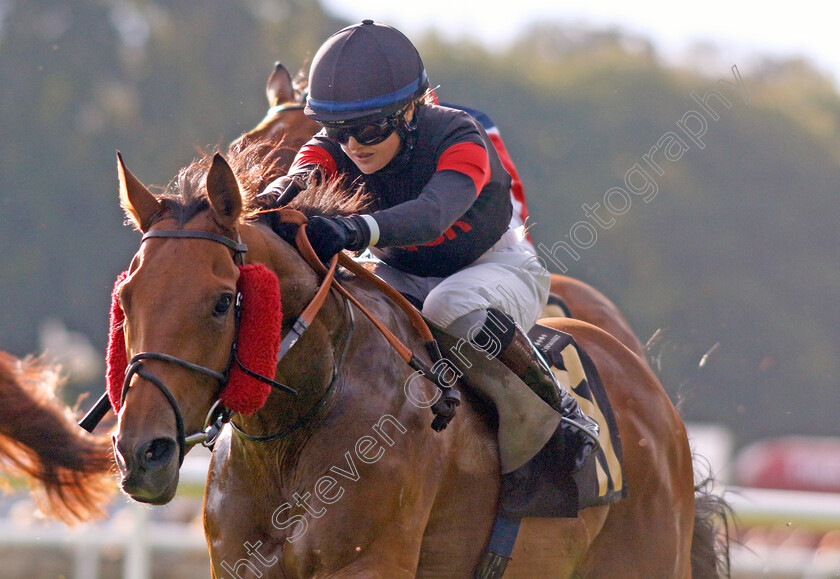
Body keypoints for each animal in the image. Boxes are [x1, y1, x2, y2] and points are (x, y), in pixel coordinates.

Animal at [106, 142, 728, 579]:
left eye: (219, 302)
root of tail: (654, 399)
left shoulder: (369, 563)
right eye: (127, 297)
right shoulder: (241, 566)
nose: (142, 451)